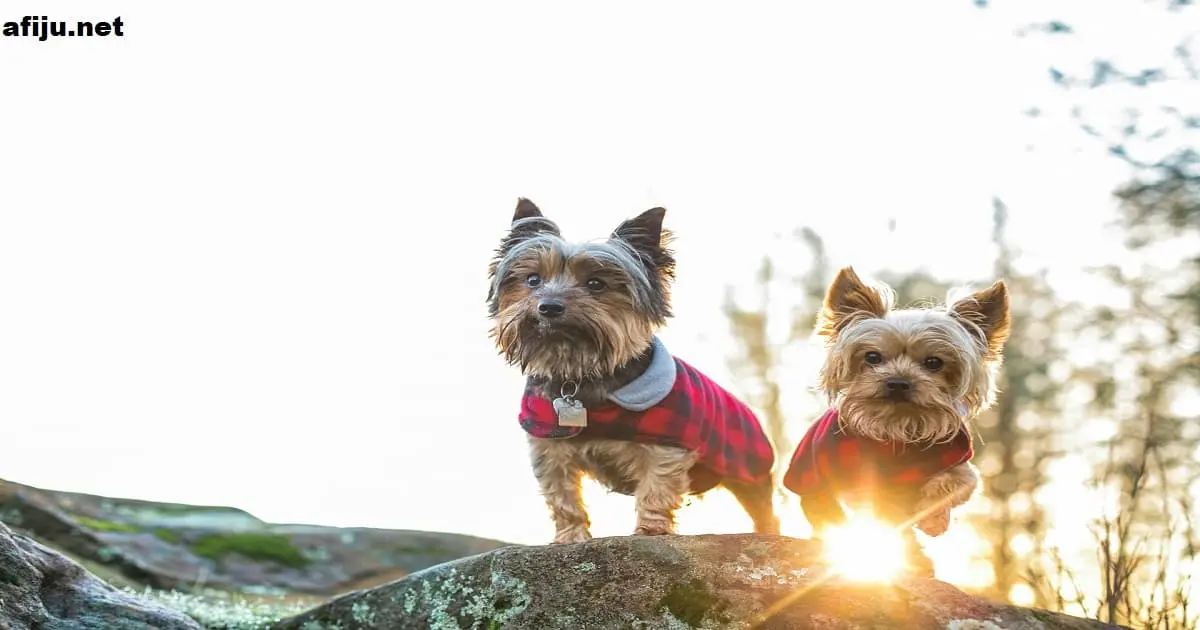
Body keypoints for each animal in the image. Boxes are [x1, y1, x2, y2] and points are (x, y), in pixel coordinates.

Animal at [482, 199, 782, 542]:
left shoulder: (666, 449)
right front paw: (570, 537)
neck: (582, 374)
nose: (549, 306)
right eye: (533, 280)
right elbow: (562, 496)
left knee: (762, 506)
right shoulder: (548, 447)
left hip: (748, 470)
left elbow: (656, 489)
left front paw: (650, 531)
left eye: (596, 284)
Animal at [782, 265, 1008, 568]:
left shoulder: (959, 462)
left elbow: (956, 484)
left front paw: (933, 520)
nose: (898, 382)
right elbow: (885, 515)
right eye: (872, 357)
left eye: (934, 362)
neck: (898, 427)